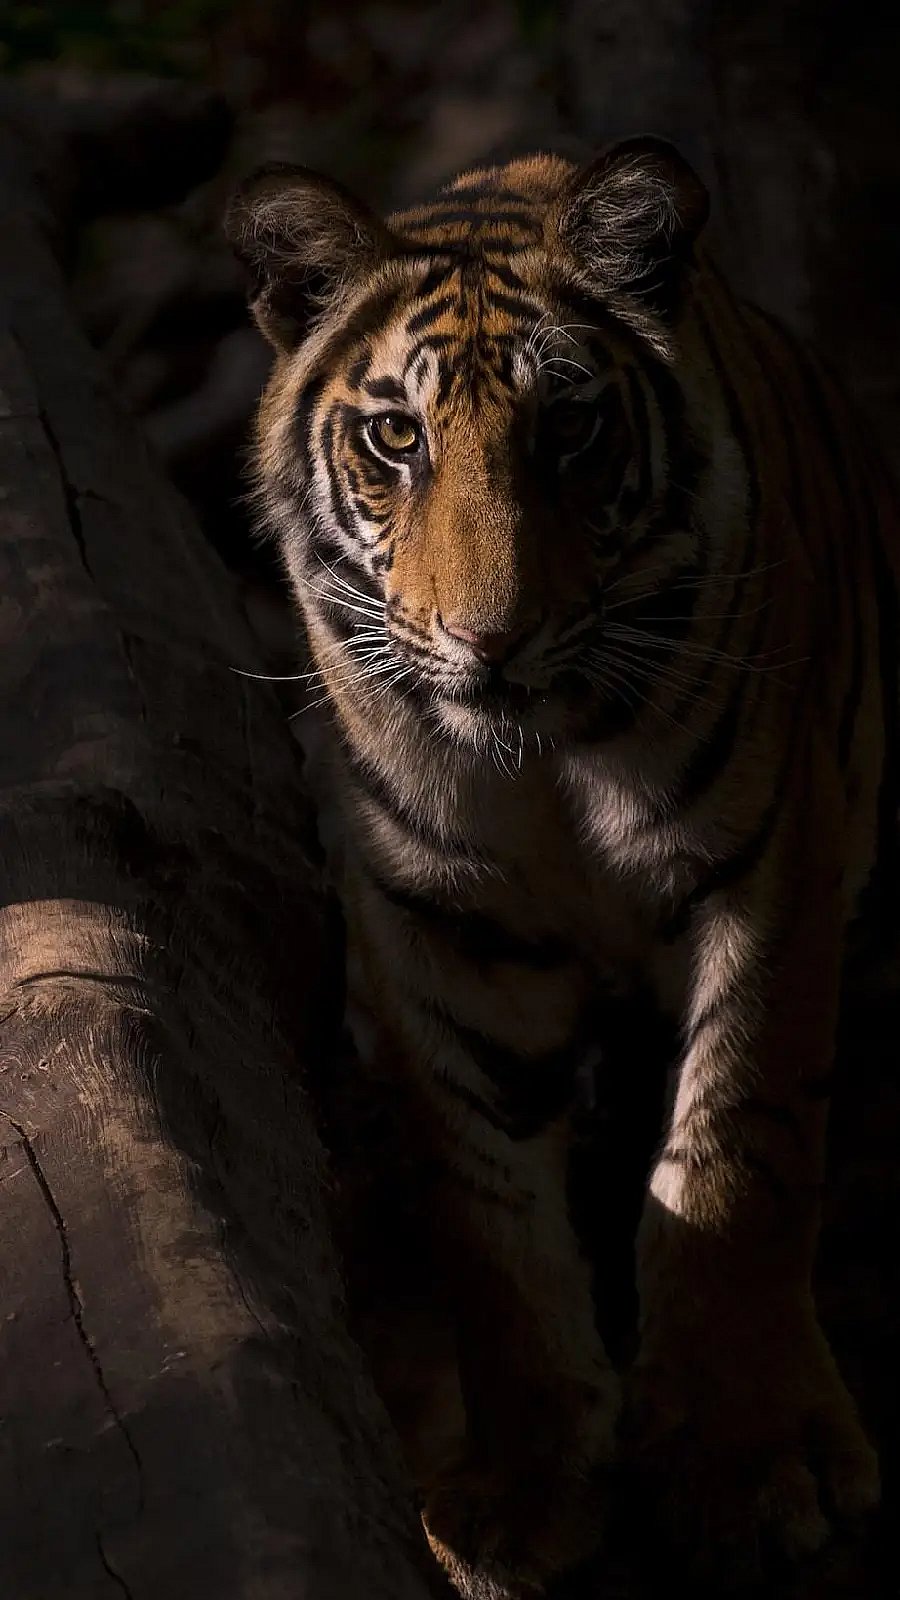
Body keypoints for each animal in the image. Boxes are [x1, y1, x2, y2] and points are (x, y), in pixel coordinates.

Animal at [225, 138, 895, 1596]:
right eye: (396, 437)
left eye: (570, 429)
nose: (492, 638)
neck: (544, 766)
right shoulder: (436, 935)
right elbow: (486, 1218)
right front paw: (521, 1495)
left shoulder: (769, 868)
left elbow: (736, 1154)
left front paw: (751, 1462)